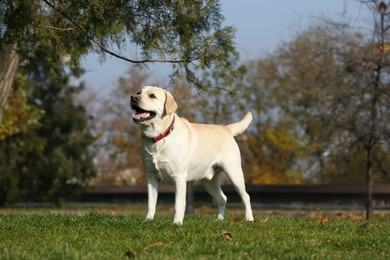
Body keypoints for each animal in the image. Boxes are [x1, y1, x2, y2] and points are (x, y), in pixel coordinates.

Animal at [129, 86, 254, 224]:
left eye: (152, 95)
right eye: (139, 92)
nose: (133, 97)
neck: (159, 137)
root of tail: (226, 129)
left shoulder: (179, 177)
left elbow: (179, 204)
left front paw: (177, 223)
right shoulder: (151, 176)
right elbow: (151, 203)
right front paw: (148, 220)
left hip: (234, 174)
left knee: (246, 196)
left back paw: (249, 218)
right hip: (208, 181)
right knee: (223, 198)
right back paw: (219, 220)